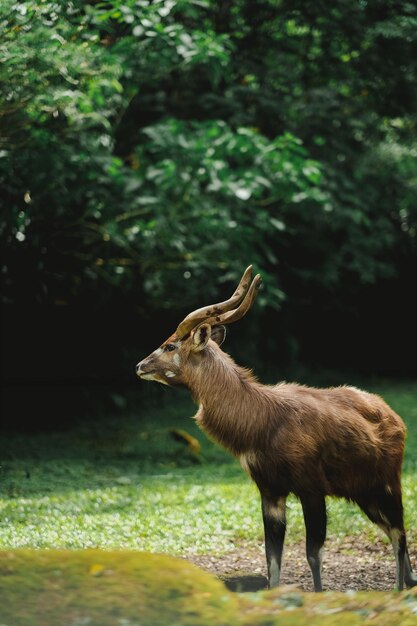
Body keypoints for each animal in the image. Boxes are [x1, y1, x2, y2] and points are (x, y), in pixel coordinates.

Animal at [135, 264, 414, 588]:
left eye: (170, 345)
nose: (140, 366)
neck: (264, 418)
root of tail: (394, 417)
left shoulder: (311, 489)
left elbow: (312, 554)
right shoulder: (270, 492)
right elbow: (272, 559)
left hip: (387, 484)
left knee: (399, 534)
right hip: (364, 493)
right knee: (394, 532)